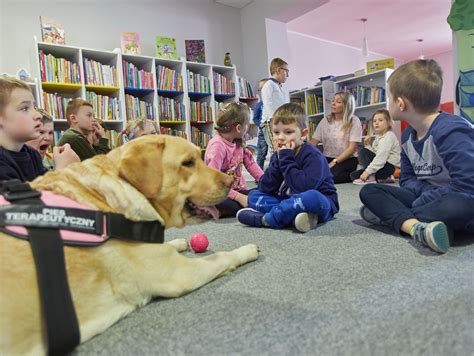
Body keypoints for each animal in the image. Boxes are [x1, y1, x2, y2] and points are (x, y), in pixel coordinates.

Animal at [0, 135, 260, 354]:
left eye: (198, 157)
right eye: (187, 163)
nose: (230, 180)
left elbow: (168, 244)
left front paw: (178, 241)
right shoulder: (179, 273)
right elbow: (223, 256)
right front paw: (247, 250)